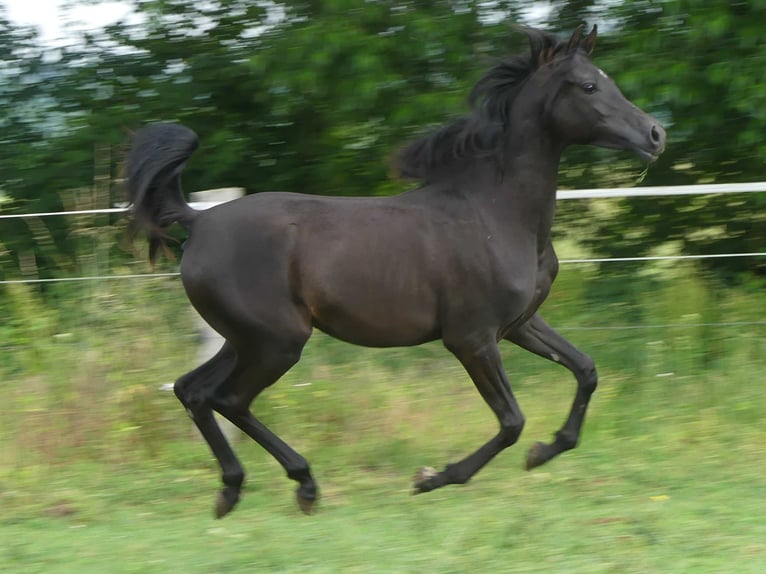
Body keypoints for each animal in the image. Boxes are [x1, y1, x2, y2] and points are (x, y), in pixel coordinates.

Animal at [126, 24, 664, 520]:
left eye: (608, 80)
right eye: (589, 86)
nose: (656, 134)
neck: (496, 213)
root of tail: (199, 220)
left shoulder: (517, 325)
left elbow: (585, 370)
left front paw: (545, 451)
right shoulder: (471, 338)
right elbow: (511, 420)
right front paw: (433, 478)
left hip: (245, 340)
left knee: (193, 390)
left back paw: (233, 490)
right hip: (277, 341)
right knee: (230, 399)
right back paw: (302, 485)